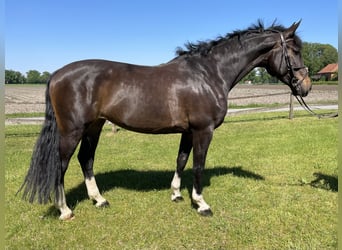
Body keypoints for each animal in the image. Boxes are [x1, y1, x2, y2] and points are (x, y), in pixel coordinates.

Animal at [20, 20, 310, 219]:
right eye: (295, 50)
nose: (306, 86)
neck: (209, 73)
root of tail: (57, 74)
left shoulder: (189, 131)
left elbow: (181, 160)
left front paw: (176, 194)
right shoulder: (203, 130)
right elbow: (198, 165)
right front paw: (201, 204)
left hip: (94, 126)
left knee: (85, 159)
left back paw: (99, 200)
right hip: (72, 130)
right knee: (61, 165)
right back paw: (65, 210)